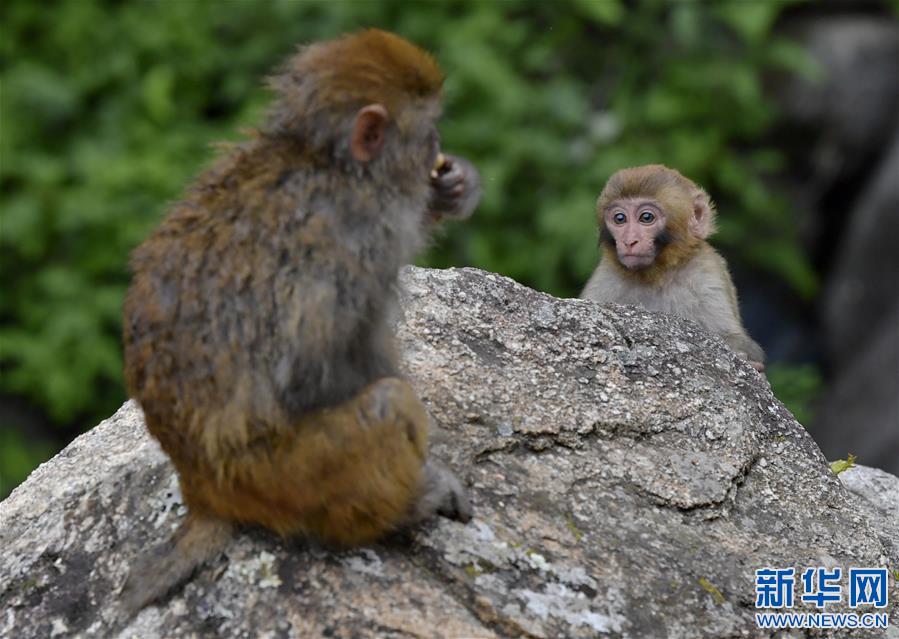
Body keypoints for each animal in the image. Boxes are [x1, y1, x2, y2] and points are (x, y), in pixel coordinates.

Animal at [125, 30, 486, 616]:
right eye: (426, 127)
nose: (438, 145)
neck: (327, 163)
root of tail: (201, 489)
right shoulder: (356, 237)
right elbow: (316, 372)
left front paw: (455, 186)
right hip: (283, 478)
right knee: (387, 405)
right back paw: (406, 506)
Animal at [580, 165, 764, 372]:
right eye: (620, 218)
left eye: (646, 217)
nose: (629, 241)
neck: (656, 276)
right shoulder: (605, 280)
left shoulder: (708, 272)